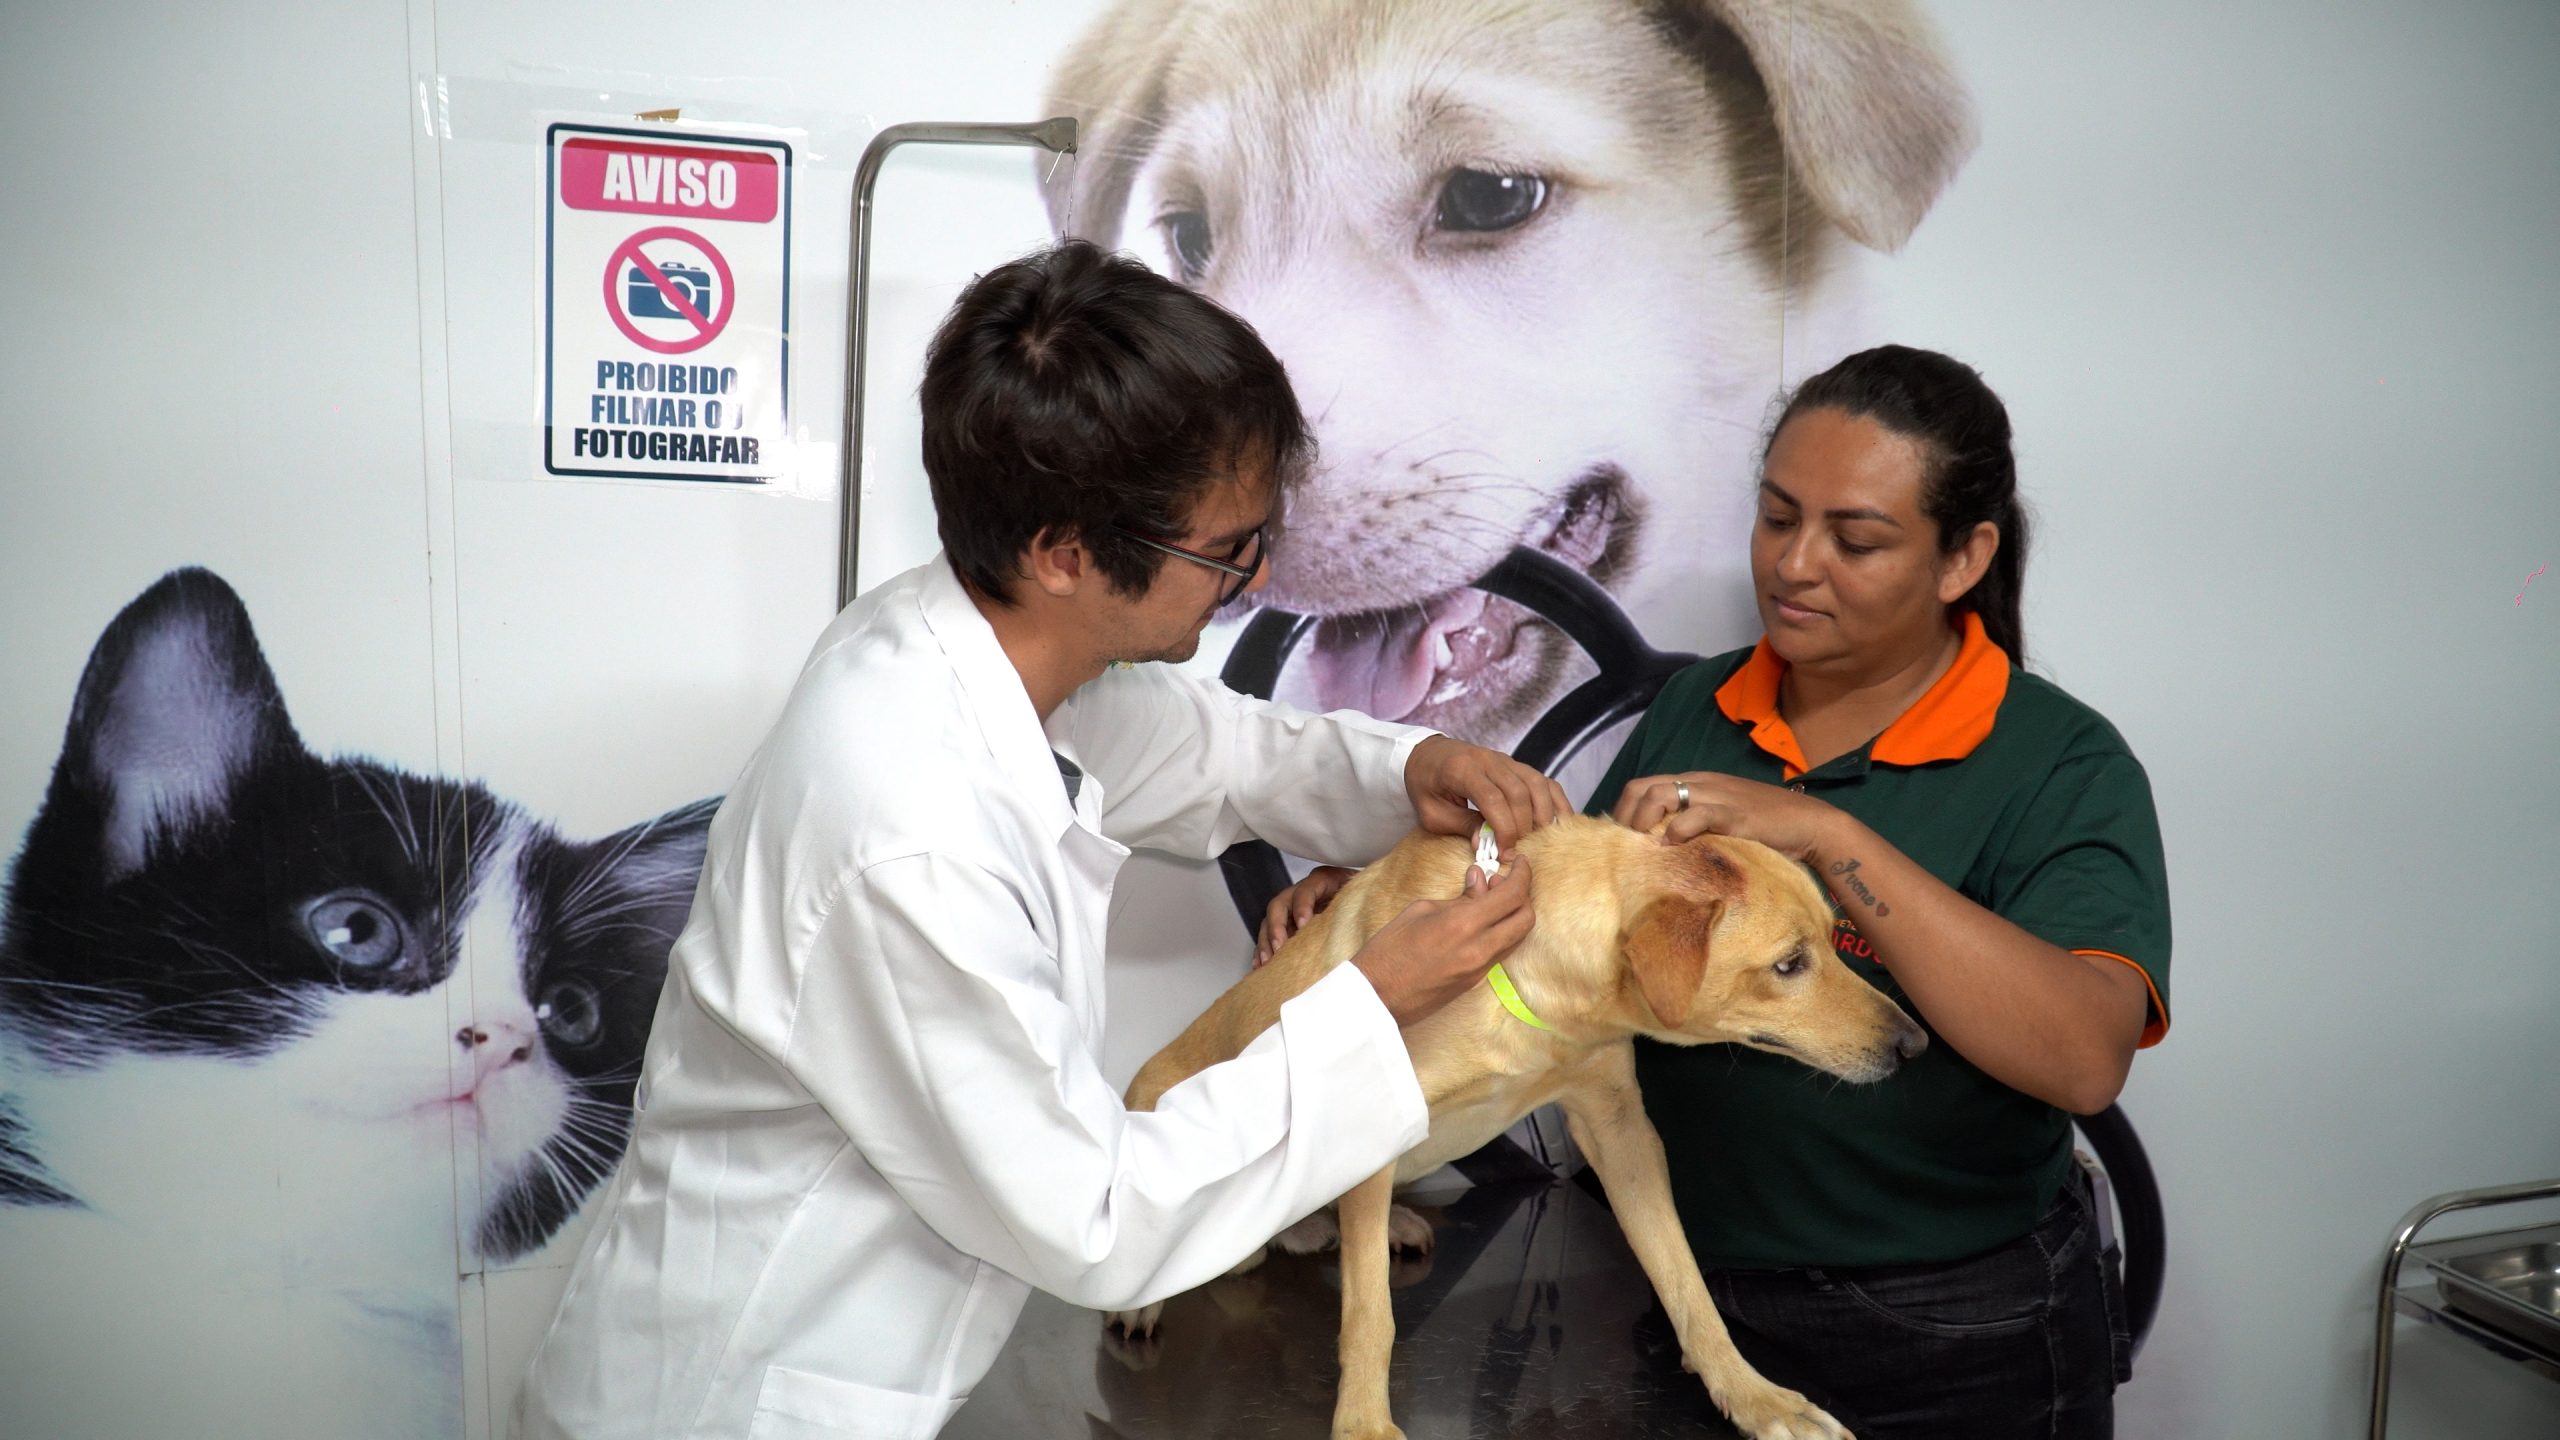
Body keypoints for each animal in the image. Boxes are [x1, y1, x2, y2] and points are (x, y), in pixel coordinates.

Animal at [1121, 814, 1925, 1424]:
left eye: (1834, 938)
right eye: (1789, 964)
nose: (1914, 1045)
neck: (1528, 983)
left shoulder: (1619, 1129)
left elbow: (1683, 1278)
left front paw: (1754, 1397)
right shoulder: (1370, 1128)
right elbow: (1370, 1318)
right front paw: (1364, 1425)